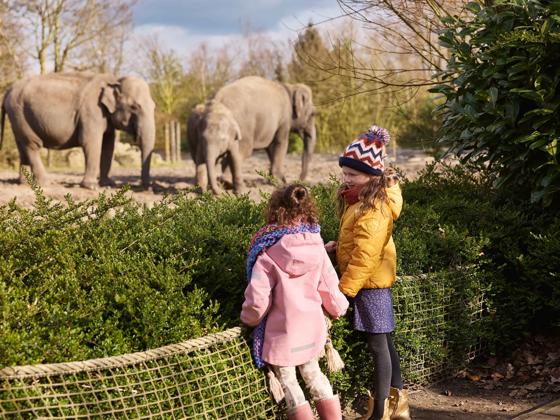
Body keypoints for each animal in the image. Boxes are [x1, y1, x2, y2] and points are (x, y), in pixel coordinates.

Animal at [2, 71, 156, 189]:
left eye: (154, 106)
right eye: (135, 107)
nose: (146, 188)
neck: (114, 80)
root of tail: (9, 90)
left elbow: (108, 145)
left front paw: (109, 184)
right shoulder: (91, 111)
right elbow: (91, 143)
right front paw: (91, 187)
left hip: (17, 117)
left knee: (22, 146)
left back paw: (24, 182)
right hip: (19, 113)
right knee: (32, 145)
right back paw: (46, 183)